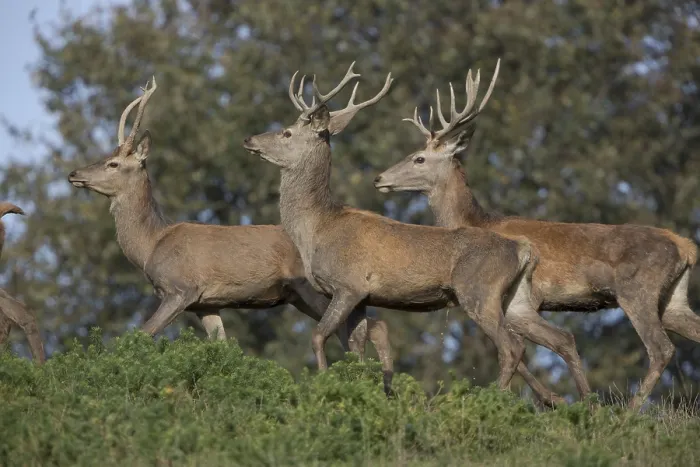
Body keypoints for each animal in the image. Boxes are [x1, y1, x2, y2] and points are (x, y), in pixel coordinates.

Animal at [67, 78, 394, 393]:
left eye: (113, 163)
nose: (73, 174)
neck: (151, 245)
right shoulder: (206, 304)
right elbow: (221, 349)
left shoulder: (180, 288)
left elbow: (142, 335)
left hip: (316, 288)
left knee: (363, 328)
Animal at [243, 62, 592, 405]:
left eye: (287, 131)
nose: (249, 140)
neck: (315, 229)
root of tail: (522, 249)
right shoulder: (361, 297)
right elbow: (356, 350)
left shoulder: (348, 284)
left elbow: (318, 336)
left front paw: (324, 387)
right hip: (517, 300)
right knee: (562, 337)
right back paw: (587, 403)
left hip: (479, 291)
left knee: (512, 346)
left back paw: (491, 400)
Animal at [373, 59, 700, 409]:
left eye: (419, 158)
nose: (379, 178)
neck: (479, 221)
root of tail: (686, 247)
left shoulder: (528, 297)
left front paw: (552, 399)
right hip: (673, 301)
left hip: (636, 291)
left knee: (660, 349)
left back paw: (629, 411)